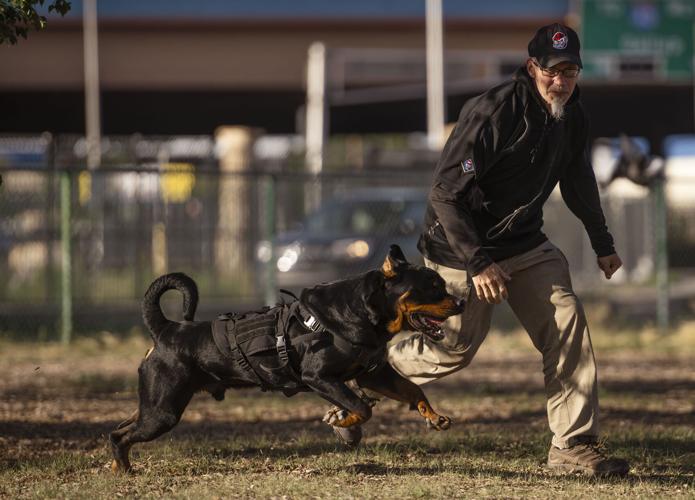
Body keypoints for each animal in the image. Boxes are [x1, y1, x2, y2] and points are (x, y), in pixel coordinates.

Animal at [111, 244, 464, 470]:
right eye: (434, 285)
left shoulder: (374, 373)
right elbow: (363, 408)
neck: (365, 313)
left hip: (155, 405)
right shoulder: (319, 377)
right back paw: (124, 471)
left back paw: (119, 468)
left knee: (119, 429)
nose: (460, 302)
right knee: (120, 436)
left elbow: (413, 390)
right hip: (163, 411)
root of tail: (166, 330)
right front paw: (342, 420)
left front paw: (434, 416)